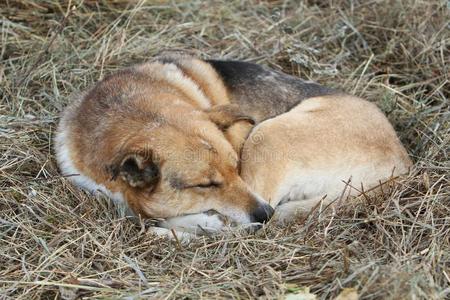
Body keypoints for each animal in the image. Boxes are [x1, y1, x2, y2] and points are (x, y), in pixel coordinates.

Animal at [53, 53, 412, 237]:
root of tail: (401, 163)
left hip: (267, 136)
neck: (124, 109)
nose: (264, 215)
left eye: (235, 166)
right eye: (206, 184)